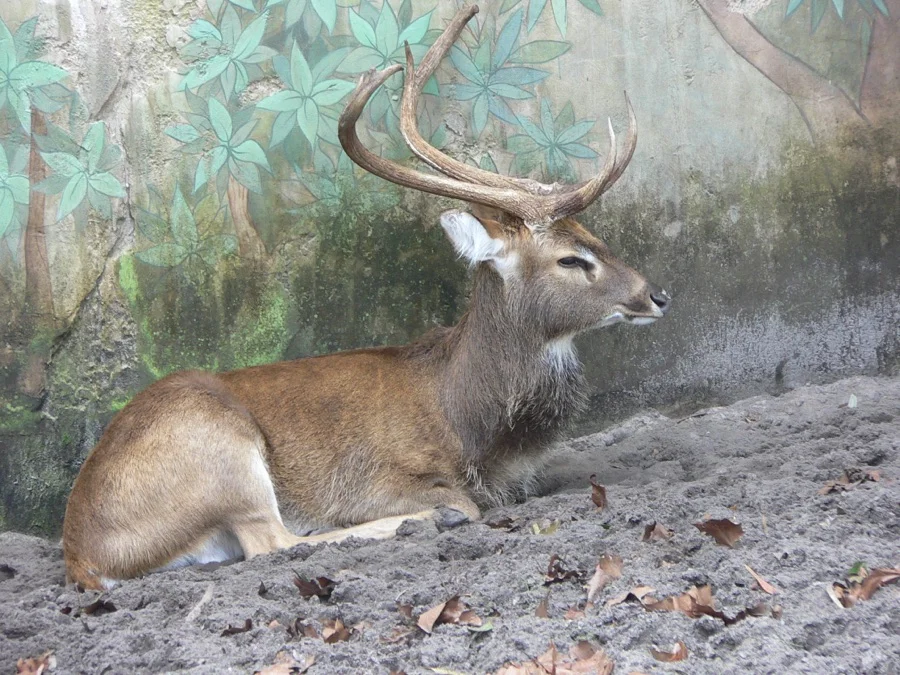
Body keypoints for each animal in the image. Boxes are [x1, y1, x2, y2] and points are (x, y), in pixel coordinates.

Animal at [62, 5, 670, 590]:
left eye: (594, 236)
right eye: (571, 259)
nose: (657, 294)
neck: (472, 425)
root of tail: (84, 555)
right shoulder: (376, 477)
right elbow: (460, 500)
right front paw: (432, 511)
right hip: (217, 445)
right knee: (272, 541)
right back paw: (414, 522)